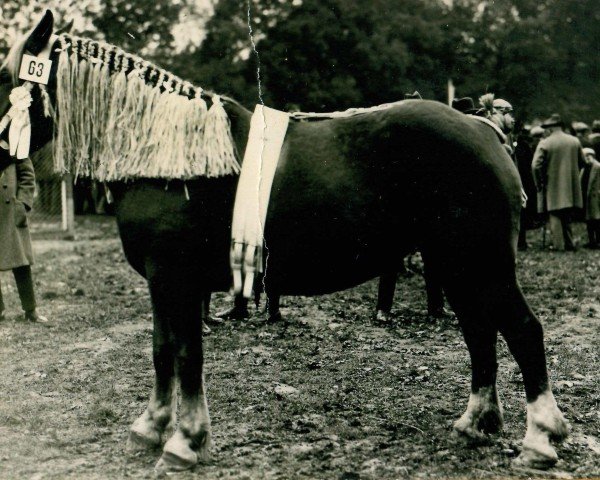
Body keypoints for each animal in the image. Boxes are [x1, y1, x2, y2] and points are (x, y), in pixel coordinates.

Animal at [0, 10, 568, 472]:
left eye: (7, 76)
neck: (169, 153)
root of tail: (485, 130)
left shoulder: (175, 278)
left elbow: (185, 354)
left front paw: (185, 441)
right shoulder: (165, 285)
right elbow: (163, 350)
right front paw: (151, 427)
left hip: (479, 263)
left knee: (522, 330)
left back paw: (540, 439)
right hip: (457, 266)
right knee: (480, 333)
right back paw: (476, 423)